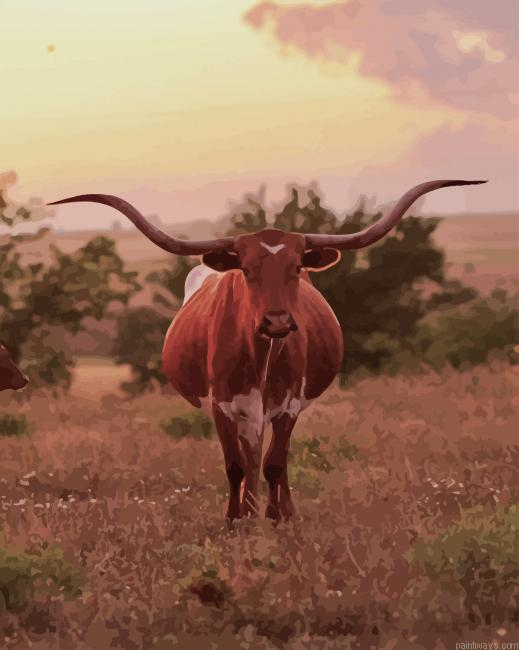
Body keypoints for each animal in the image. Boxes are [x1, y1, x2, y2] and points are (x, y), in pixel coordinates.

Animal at [49, 179, 486, 521]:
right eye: (247, 269)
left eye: (296, 268)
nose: (276, 322)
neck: (259, 354)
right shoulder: (223, 406)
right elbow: (235, 467)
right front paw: (236, 522)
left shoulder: (288, 405)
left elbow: (275, 464)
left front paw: (277, 519)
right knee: (249, 459)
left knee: (271, 460)